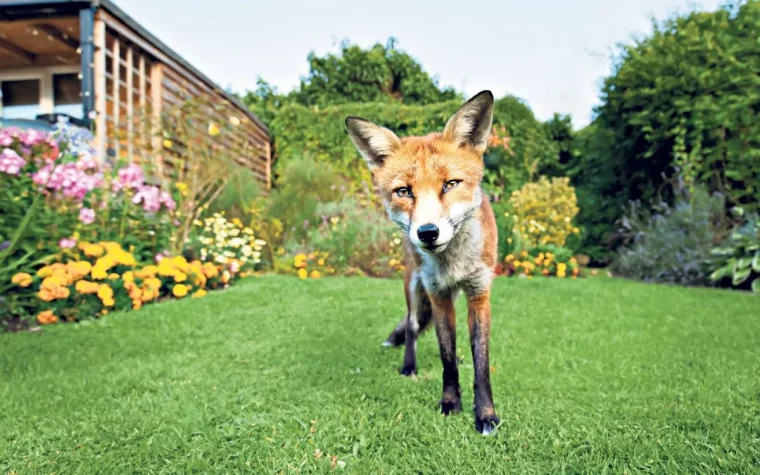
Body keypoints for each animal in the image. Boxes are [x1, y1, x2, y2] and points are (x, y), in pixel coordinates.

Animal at [342, 91, 498, 436]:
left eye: (450, 184)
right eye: (404, 191)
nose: (427, 233)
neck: (452, 263)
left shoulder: (479, 292)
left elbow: (480, 361)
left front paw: (486, 415)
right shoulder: (437, 294)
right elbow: (446, 356)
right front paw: (451, 403)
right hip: (414, 288)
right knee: (412, 328)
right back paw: (409, 366)